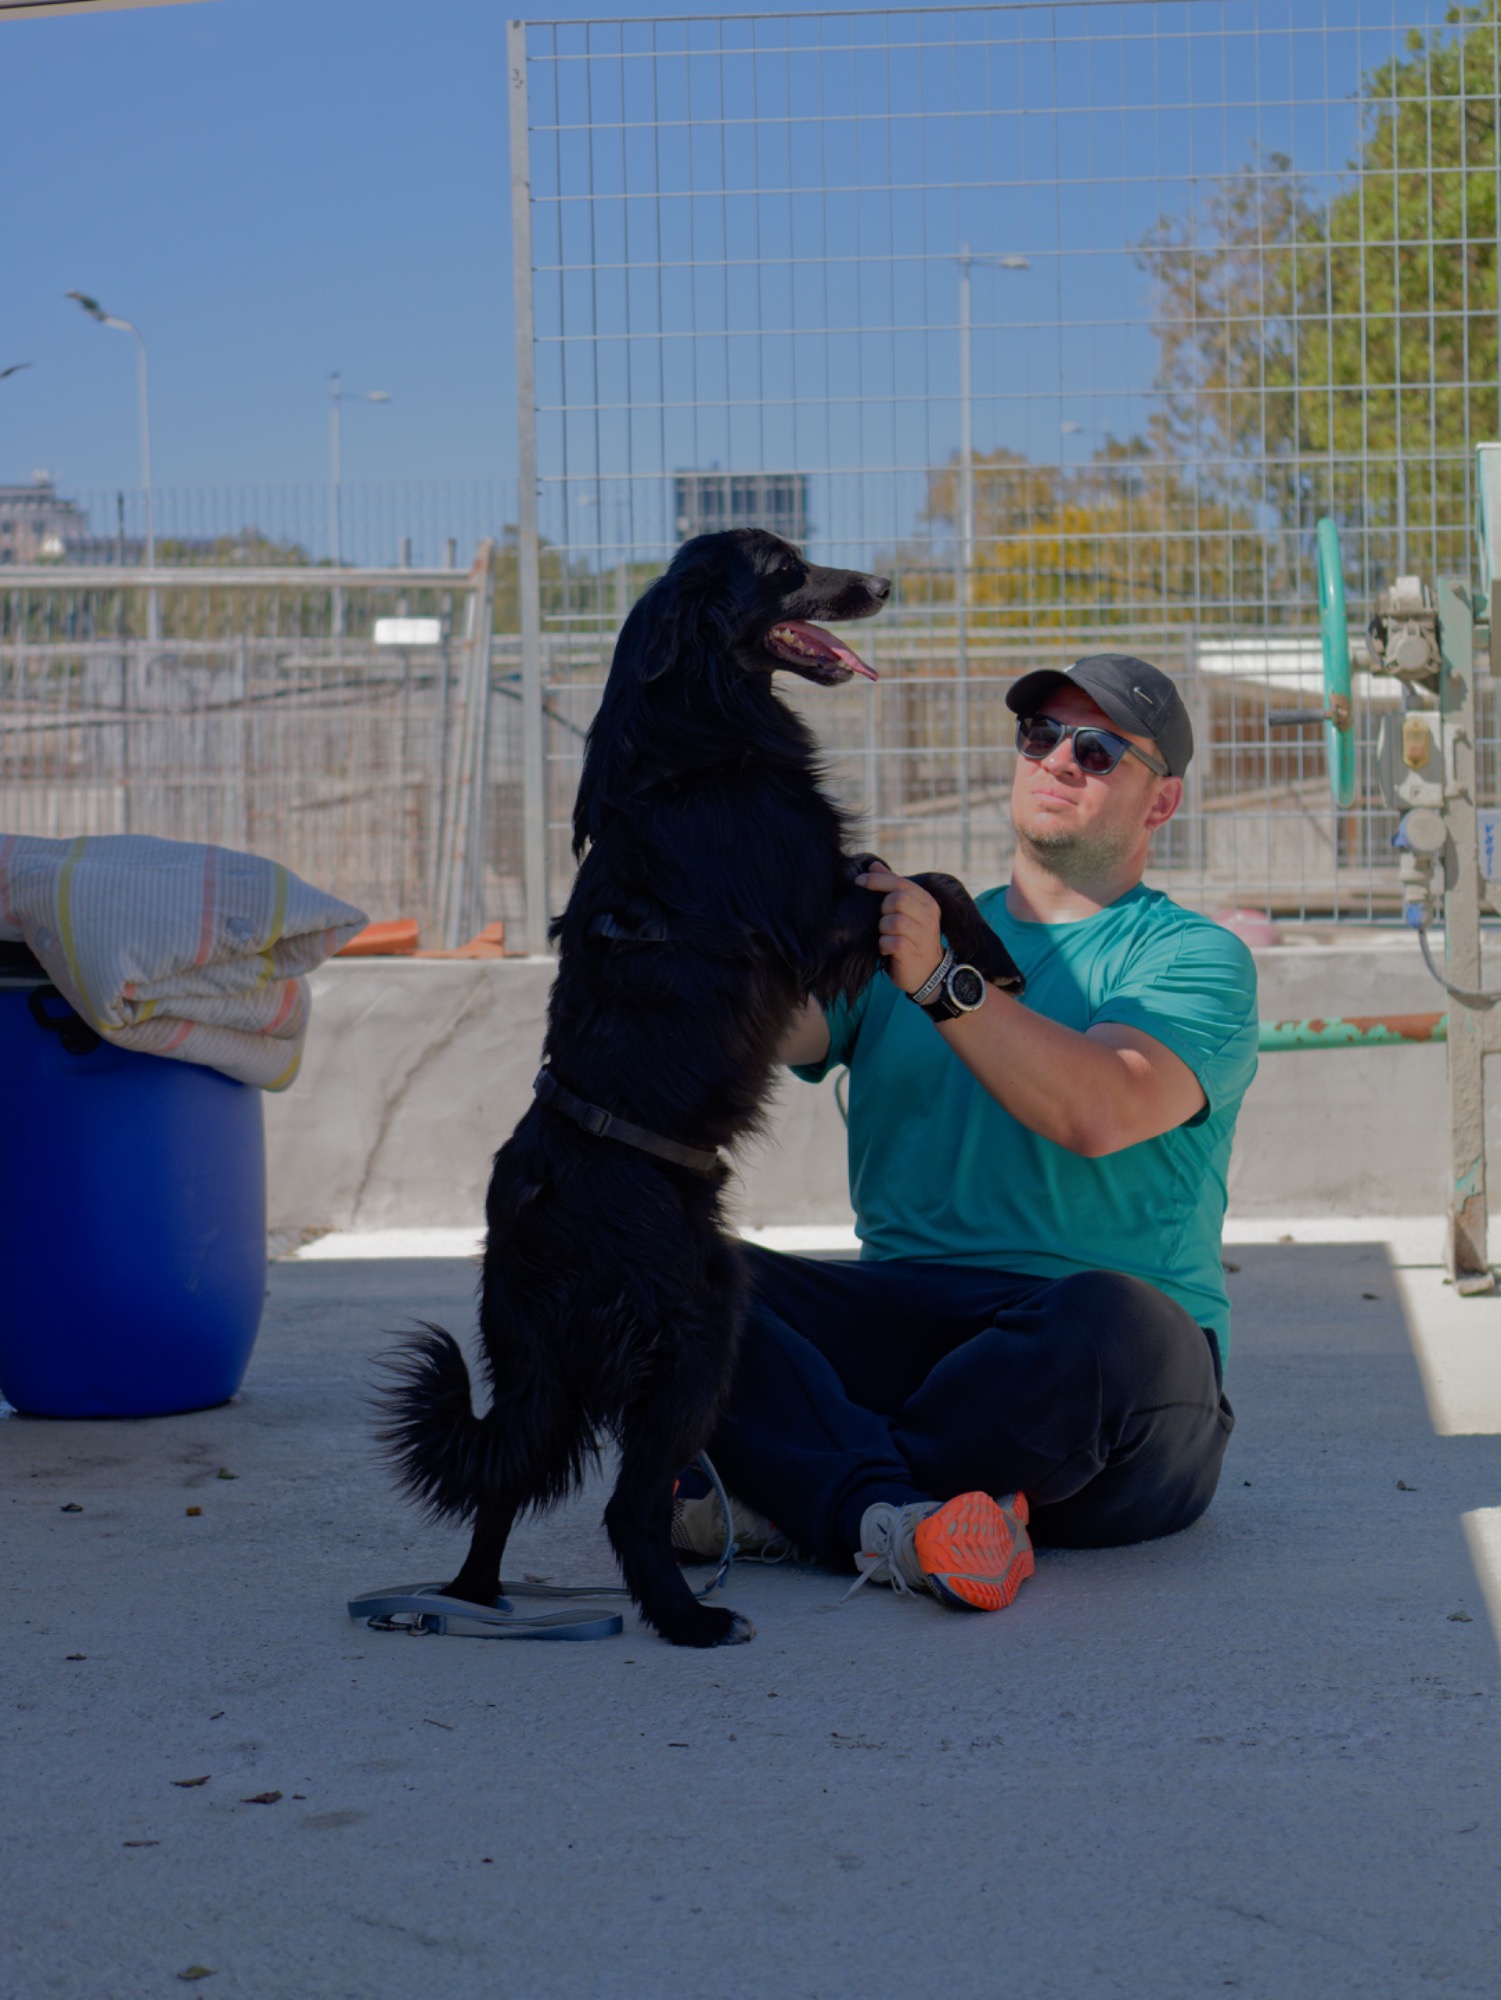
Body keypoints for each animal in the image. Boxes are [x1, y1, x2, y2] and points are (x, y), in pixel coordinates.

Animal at [378, 527, 1023, 1648]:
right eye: (785, 568)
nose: (884, 583)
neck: (701, 738)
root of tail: (544, 1227)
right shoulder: (814, 917)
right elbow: (922, 876)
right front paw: (993, 956)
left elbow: (911, 872)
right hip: (699, 1329)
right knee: (625, 1505)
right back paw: (687, 1619)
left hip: (539, 1369)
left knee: (504, 1480)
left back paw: (471, 1600)